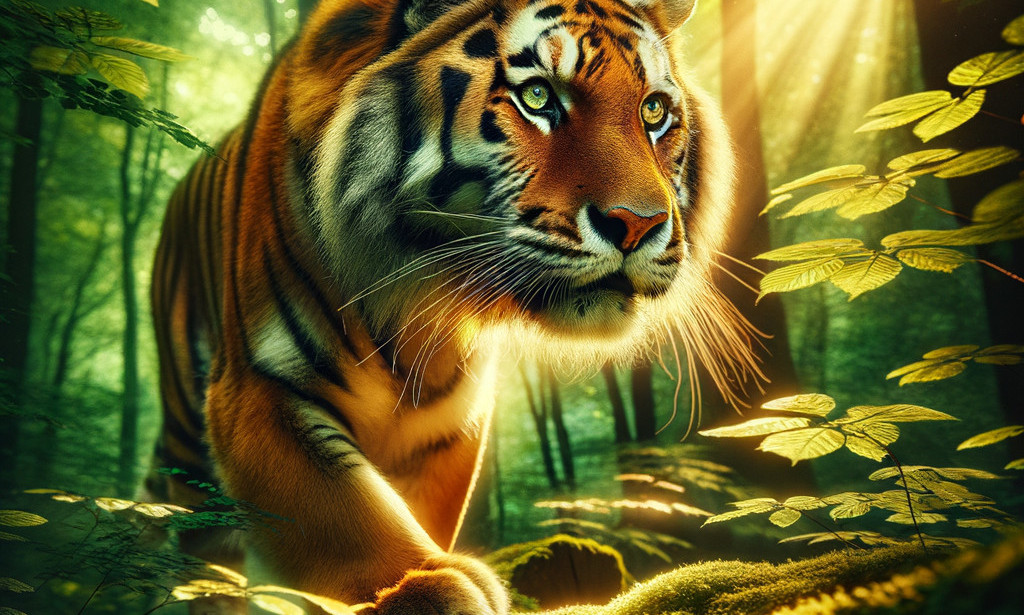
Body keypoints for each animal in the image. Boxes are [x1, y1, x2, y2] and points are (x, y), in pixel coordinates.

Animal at [148, 0, 762, 611]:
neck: (416, 288)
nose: (638, 224)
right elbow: (339, 506)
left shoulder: (448, 418)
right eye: (537, 96)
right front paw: (420, 586)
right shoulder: (255, 387)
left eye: (652, 110)